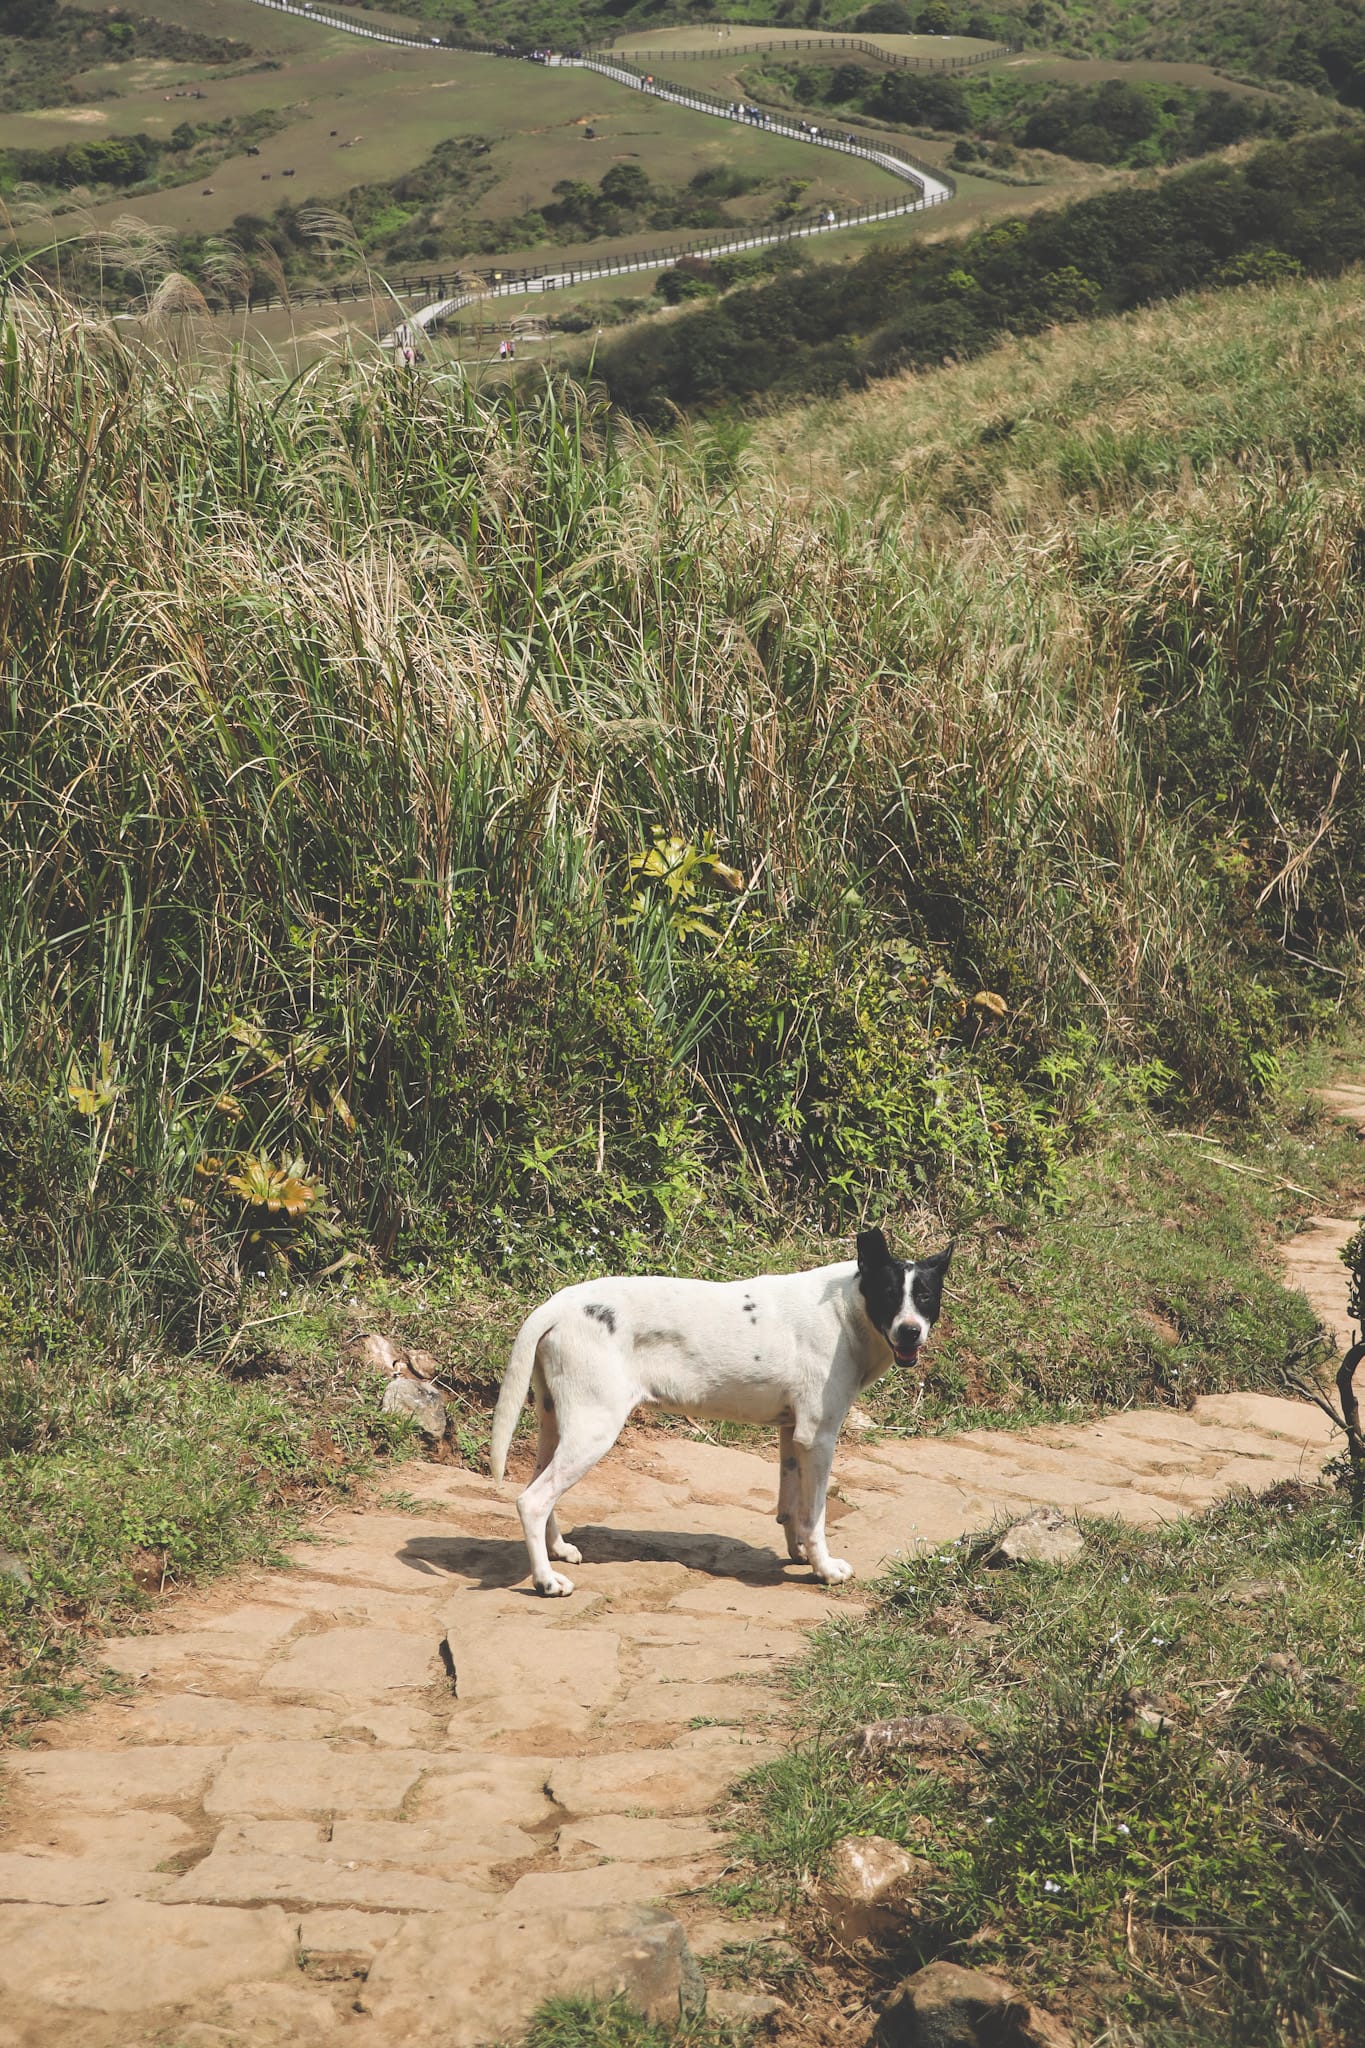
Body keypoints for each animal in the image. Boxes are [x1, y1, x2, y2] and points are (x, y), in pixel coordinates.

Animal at [490, 1229, 952, 1596]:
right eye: (889, 1294)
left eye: (925, 1296)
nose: (910, 1331)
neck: (847, 1309)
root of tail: (559, 1305)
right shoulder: (818, 1439)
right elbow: (814, 1515)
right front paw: (824, 1568)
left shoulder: (793, 1435)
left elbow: (791, 1507)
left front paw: (799, 1552)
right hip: (594, 1430)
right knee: (532, 1501)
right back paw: (546, 1581)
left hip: (556, 1425)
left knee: (539, 1488)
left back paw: (558, 1550)